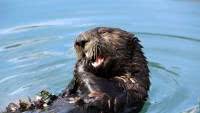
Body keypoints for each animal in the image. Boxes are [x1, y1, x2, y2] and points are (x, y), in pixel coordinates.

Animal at [3, 26, 149, 112]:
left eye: (103, 32)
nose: (80, 40)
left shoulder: (122, 89)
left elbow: (98, 89)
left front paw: (82, 63)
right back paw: (20, 105)